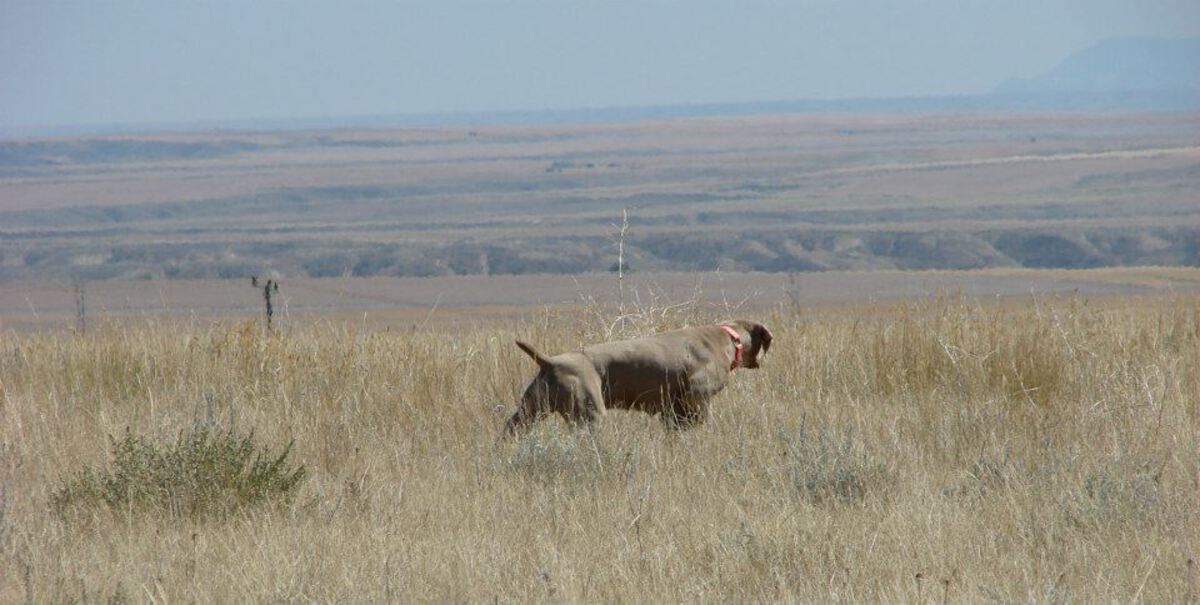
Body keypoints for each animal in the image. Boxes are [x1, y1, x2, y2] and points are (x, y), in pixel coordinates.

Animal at [504, 319, 768, 432]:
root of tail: (549, 361)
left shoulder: (673, 410)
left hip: (530, 409)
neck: (728, 338)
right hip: (589, 413)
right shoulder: (697, 398)